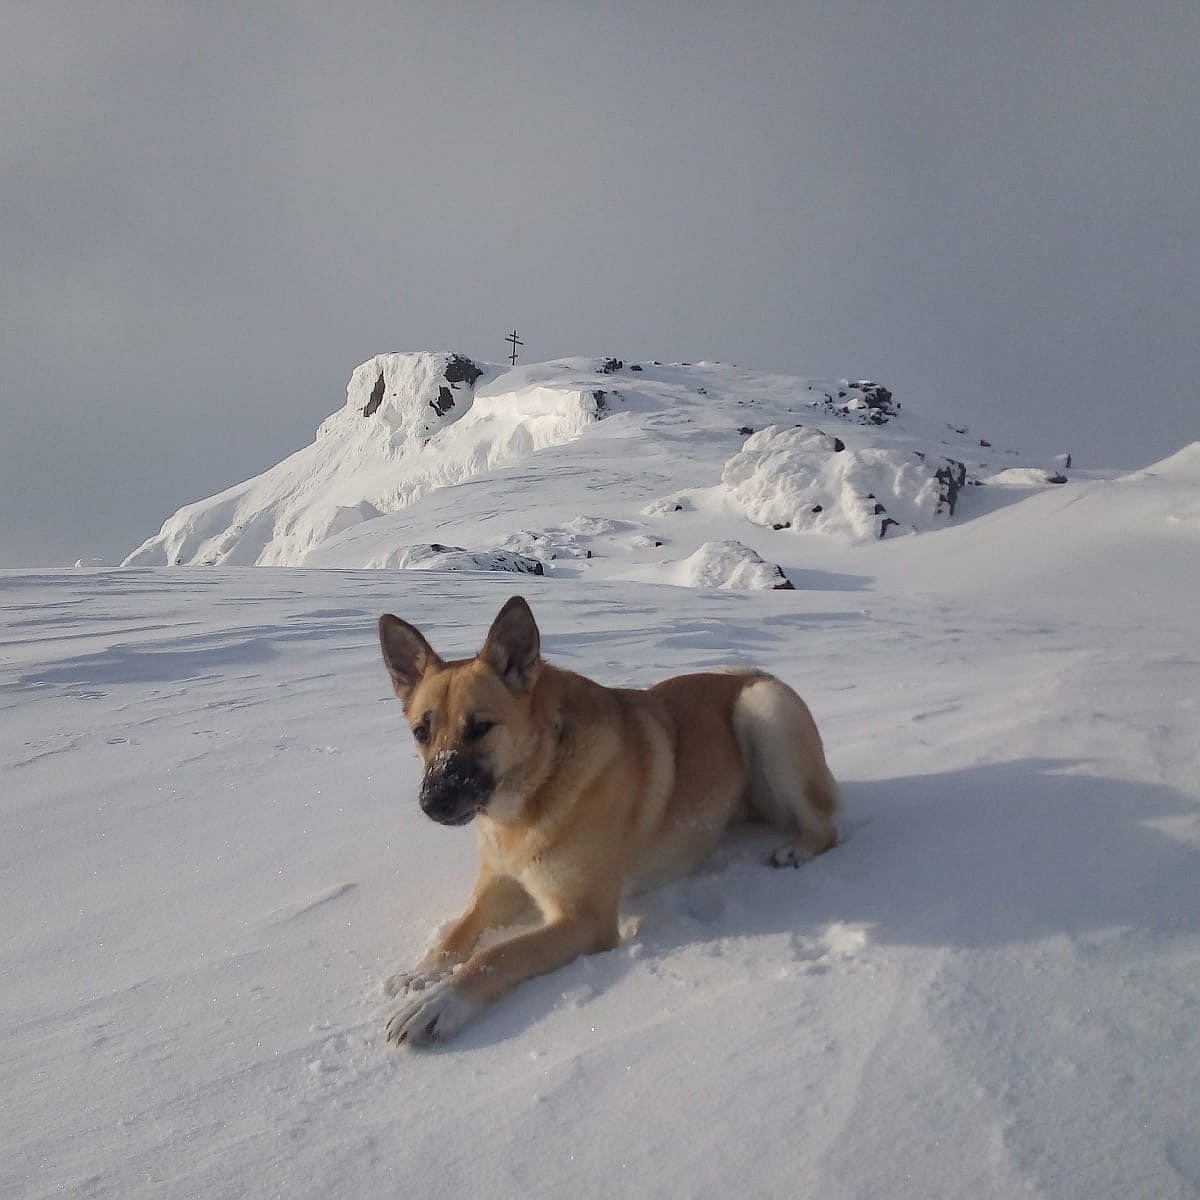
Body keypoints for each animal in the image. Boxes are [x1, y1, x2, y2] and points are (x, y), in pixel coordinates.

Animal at [374, 595, 835, 1046]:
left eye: (480, 728)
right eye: (421, 733)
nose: (433, 802)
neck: (541, 778)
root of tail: (756, 675)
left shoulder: (584, 919)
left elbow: (495, 955)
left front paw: (438, 1003)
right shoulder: (501, 882)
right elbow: (459, 932)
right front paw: (422, 972)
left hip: (764, 713)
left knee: (826, 823)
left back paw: (797, 848)